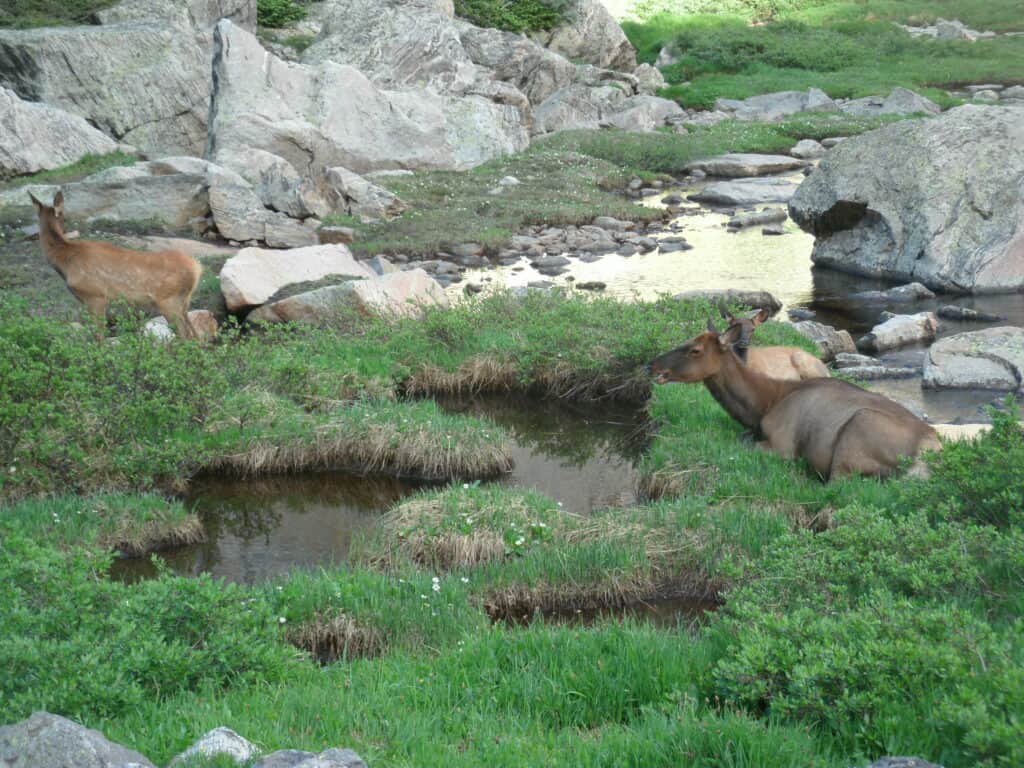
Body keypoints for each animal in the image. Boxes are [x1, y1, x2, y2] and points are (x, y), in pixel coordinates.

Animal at [29, 191, 201, 337]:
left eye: (64, 216)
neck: (65, 261)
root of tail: (197, 268)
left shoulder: (95, 296)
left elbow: (99, 337)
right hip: (184, 301)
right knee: (195, 335)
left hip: (169, 300)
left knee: (186, 336)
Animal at [647, 319, 937, 481]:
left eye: (695, 350)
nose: (651, 364)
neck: (761, 406)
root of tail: (930, 449)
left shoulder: (782, 444)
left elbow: (744, 445)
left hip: (857, 432)